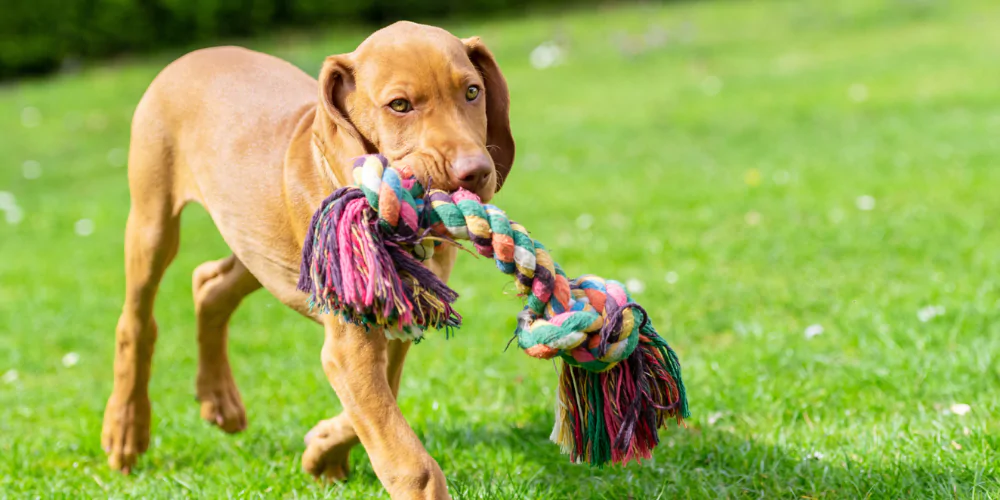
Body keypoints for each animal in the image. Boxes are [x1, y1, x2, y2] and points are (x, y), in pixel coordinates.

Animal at [101, 20, 516, 500]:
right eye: (399, 105)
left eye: (472, 92)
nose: (476, 172)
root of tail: (193, 55)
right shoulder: (350, 346)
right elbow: (410, 461)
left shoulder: (396, 323)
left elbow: (375, 411)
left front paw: (322, 449)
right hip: (153, 222)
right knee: (136, 322)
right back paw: (127, 430)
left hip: (257, 244)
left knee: (210, 285)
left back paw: (218, 399)